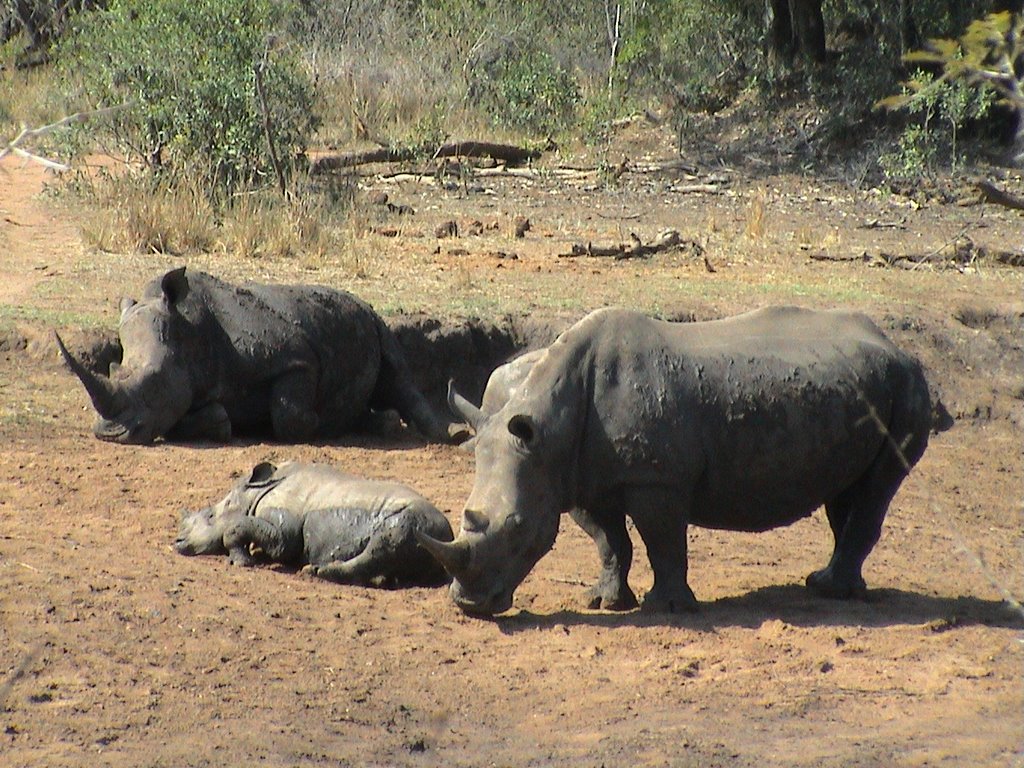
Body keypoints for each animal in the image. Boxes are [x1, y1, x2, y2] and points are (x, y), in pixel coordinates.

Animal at [51, 268, 460, 444]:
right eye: (114, 368)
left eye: (153, 382)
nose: (107, 434)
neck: (190, 332)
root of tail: (360, 299)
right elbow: (200, 416)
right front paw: (222, 423)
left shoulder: (296, 359)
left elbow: (290, 415)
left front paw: (323, 422)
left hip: (373, 318)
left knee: (398, 375)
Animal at [174, 462, 454, 589]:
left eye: (210, 516)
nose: (177, 542)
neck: (252, 493)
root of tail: (449, 534)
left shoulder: (283, 531)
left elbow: (247, 530)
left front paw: (241, 561)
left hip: (418, 522)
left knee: (389, 537)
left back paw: (316, 571)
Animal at [417, 303, 937, 618]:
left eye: (518, 528)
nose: (469, 605)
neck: (549, 424)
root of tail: (899, 348)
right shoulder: (576, 475)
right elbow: (609, 542)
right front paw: (604, 602)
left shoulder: (656, 480)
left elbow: (662, 542)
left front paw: (667, 608)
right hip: (866, 388)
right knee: (846, 492)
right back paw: (833, 586)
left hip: (909, 388)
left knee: (876, 488)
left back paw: (832, 592)